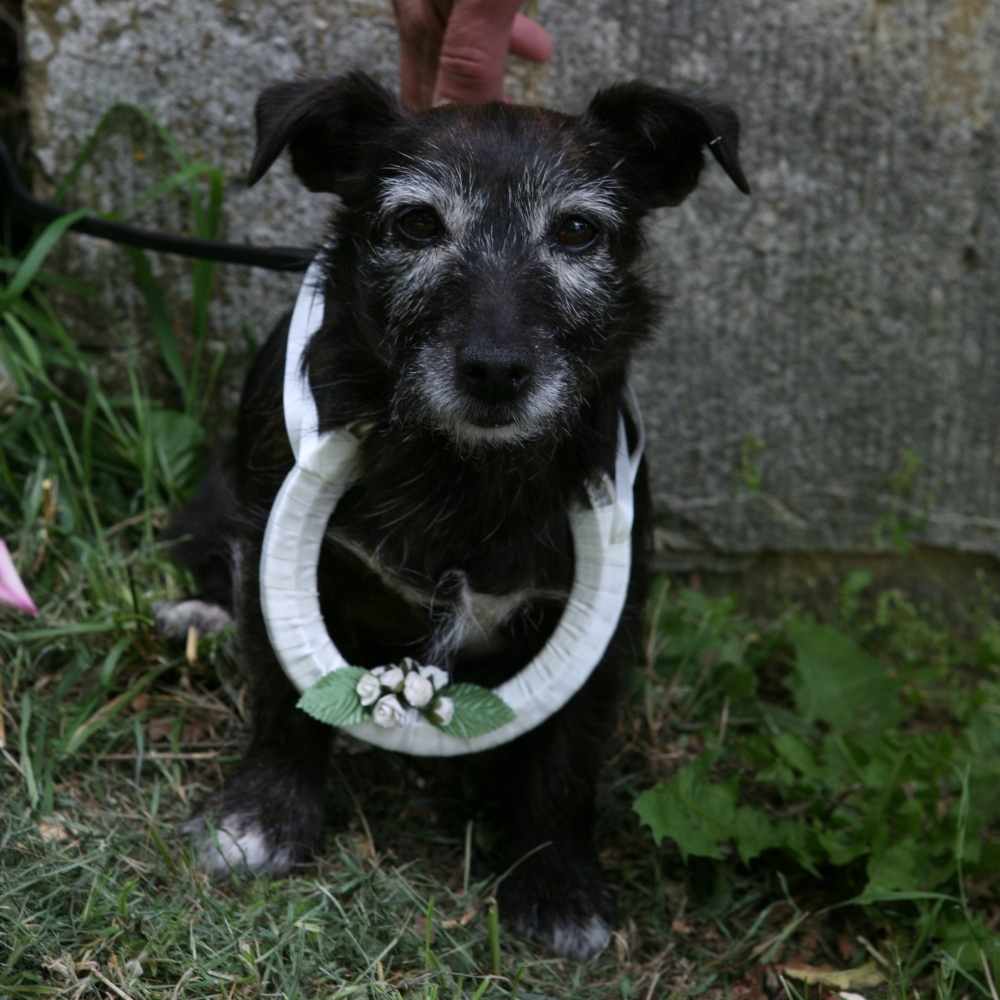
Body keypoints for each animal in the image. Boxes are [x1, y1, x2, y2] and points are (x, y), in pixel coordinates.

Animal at [160, 72, 748, 960]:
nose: (496, 371)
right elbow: (283, 704)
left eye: (577, 230)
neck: (462, 471)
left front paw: (558, 884)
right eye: (416, 223)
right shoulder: (276, 558)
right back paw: (197, 612)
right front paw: (261, 820)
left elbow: (566, 763)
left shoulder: (605, 628)